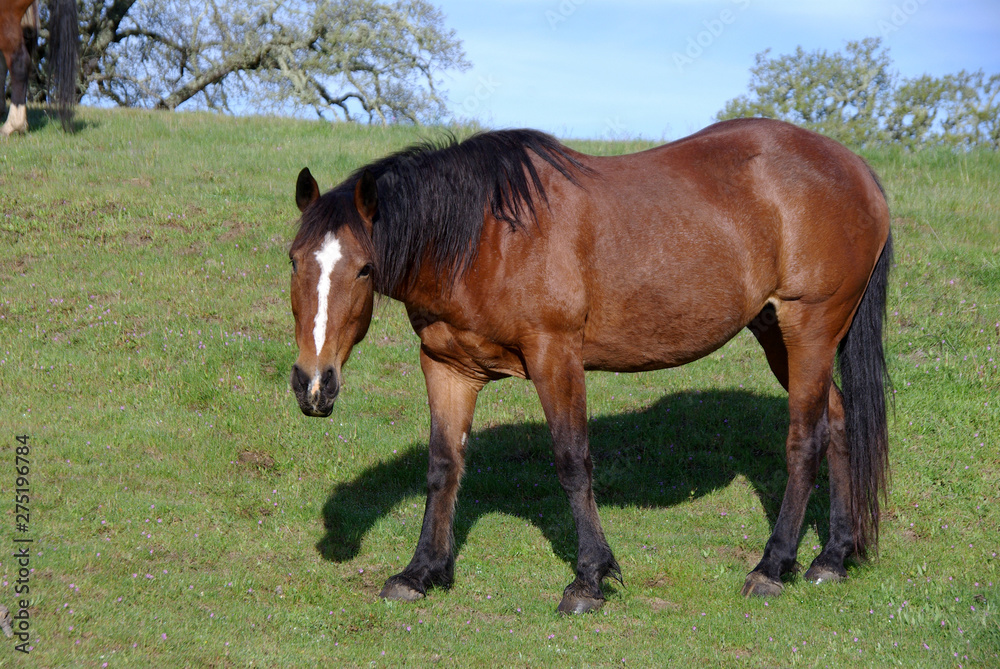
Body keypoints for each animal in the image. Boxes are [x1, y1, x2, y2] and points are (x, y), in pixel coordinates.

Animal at [287, 117, 892, 613]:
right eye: (293, 259)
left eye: (364, 269)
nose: (315, 385)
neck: (484, 236)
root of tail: (858, 170)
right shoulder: (447, 365)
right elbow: (443, 467)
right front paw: (421, 573)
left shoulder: (555, 356)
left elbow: (572, 462)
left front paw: (590, 580)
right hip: (777, 335)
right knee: (839, 422)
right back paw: (832, 557)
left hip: (809, 329)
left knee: (805, 439)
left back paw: (772, 566)